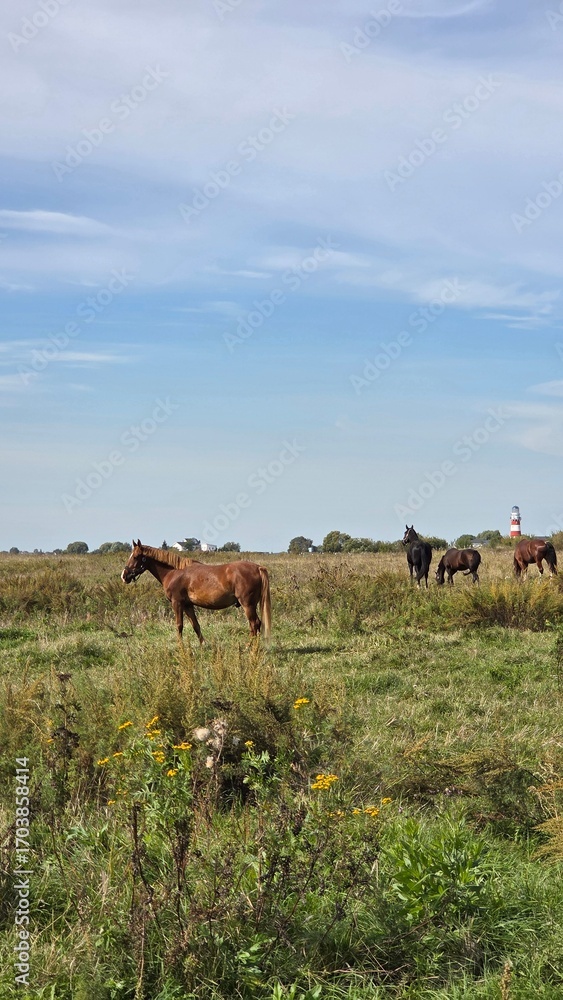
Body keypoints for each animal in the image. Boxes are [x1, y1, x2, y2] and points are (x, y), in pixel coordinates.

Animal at [121, 540, 271, 642]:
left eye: (135, 557)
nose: (124, 576)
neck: (174, 572)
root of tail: (258, 568)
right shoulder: (188, 605)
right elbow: (195, 625)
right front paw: (203, 645)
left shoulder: (177, 603)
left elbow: (179, 625)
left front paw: (180, 647)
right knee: (256, 624)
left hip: (248, 605)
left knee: (254, 624)